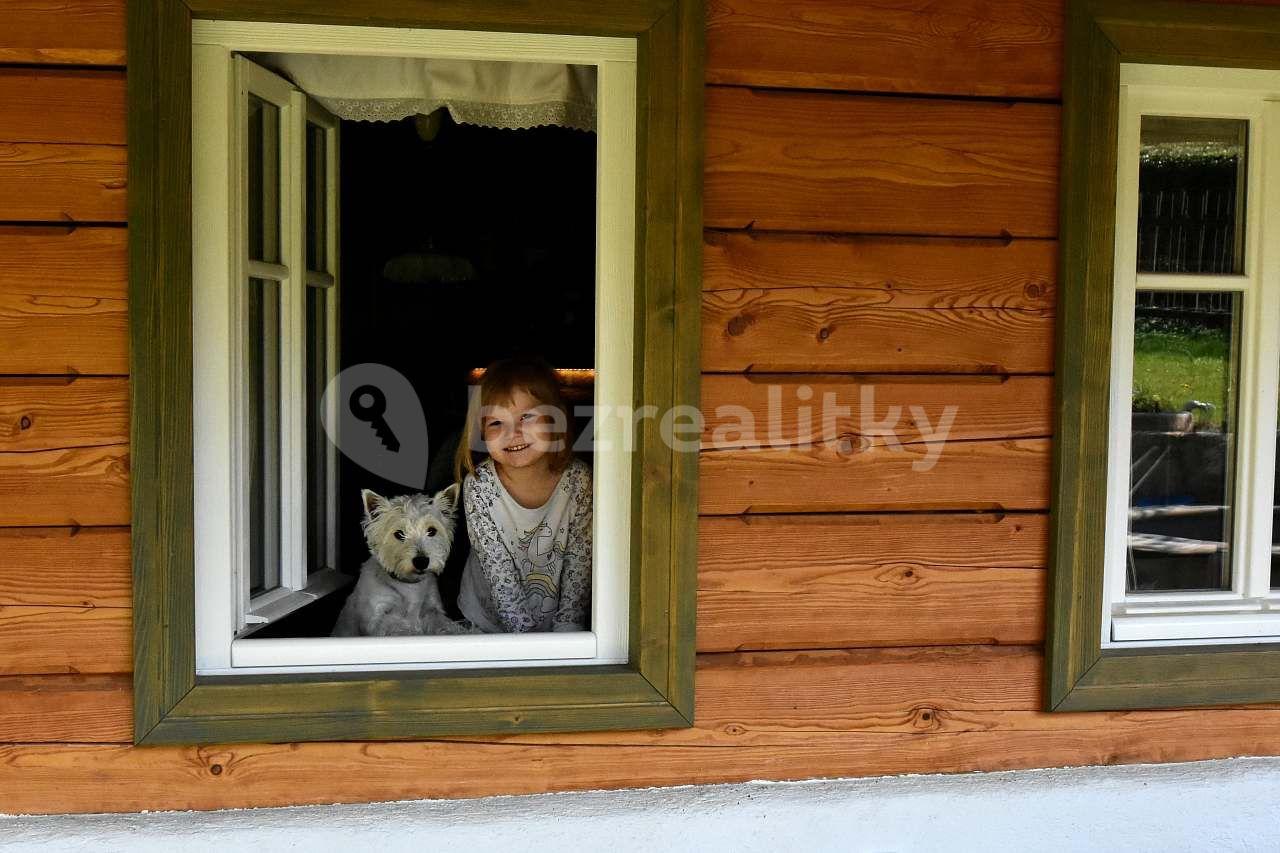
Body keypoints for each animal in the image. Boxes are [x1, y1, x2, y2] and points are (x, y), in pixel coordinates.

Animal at [330, 481, 476, 635]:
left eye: (432, 531)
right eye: (399, 534)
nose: (421, 561)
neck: (410, 585)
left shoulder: (432, 609)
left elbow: (445, 625)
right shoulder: (379, 620)